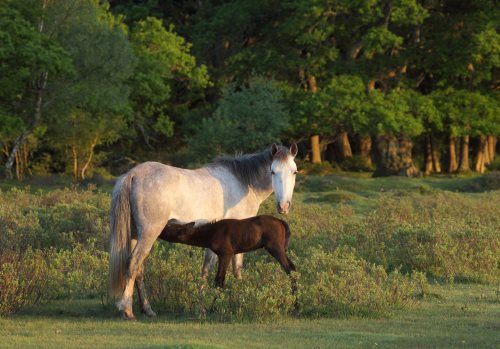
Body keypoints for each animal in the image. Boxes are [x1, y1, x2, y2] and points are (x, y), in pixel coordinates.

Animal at [109, 143, 296, 320]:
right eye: (272, 171)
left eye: (294, 172)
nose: (283, 206)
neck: (243, 182)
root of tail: (133, 175)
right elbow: (235, 270)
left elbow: (207, 269)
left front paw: (202, 305)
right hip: (149, 233)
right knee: (133, 263)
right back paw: (127, 310)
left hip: (135, 235)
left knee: (138, 269)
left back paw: (147, 309)